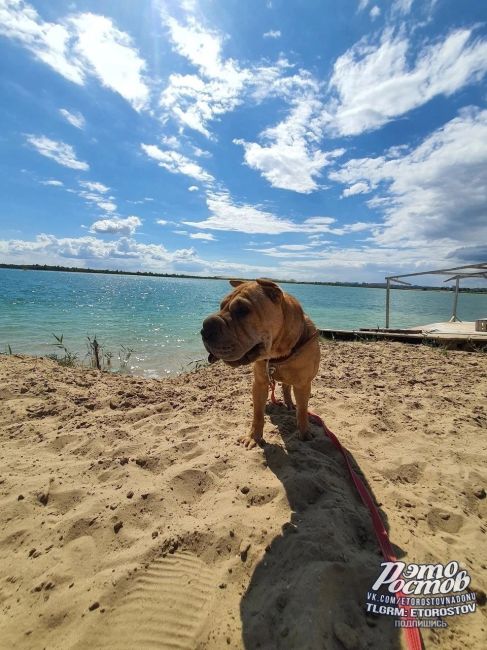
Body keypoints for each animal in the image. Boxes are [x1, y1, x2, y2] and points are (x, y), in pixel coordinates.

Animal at [200, 276, 322, 448]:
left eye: (243, 310)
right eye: (221, 306)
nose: (206, 327)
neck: (278, 356)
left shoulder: (303, 385)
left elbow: (303, 411)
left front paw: (304, 432)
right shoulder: (259, 383)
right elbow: (257, 414)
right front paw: (254, 437)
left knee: (287, 388)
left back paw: (290, 403)